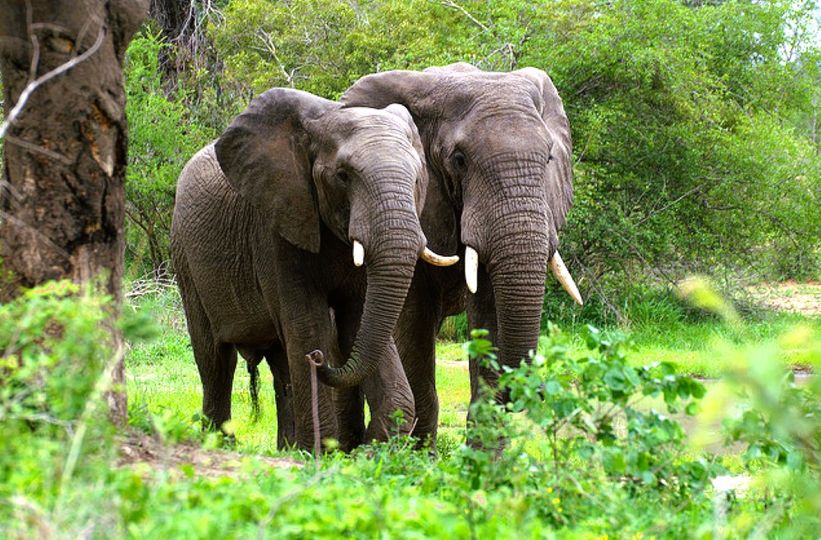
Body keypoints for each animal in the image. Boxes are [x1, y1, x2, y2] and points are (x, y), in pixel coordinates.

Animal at [170, 88, 458, 452]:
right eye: (343, 175)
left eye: (418, 178)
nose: (320, 359)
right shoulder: (275, 226)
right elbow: (307, 324)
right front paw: (322, 452)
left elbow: (359, 322)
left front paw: (367, 448)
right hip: (185, 258)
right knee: (215, 359)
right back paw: (221, 445)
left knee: (279, 362)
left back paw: (287, 448)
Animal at [340, 62, 584, 448]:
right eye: (459, 160)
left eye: (548, 158)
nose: (537, 392)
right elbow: (414, 320)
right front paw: (418, 456)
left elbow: (490, 310)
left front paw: (485, 456)